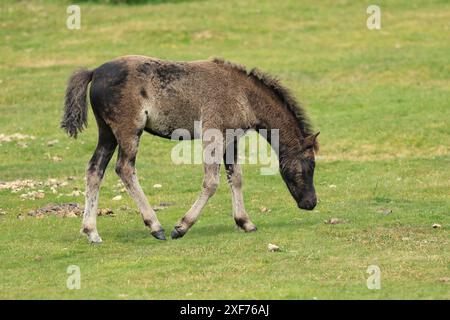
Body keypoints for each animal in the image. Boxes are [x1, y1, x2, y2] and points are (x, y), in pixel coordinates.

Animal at [61, 57, 318, 242]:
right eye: (310, 165)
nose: (311, 203)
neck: (243, 94)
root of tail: (95, 72)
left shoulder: (231, 140)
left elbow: (236, 178)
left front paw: (245, 222)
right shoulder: (213, 135)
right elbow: (211, 182)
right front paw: (181, 227)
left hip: (107, 133)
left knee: (95, 170)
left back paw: (92, 232)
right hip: (129, 130)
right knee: (124, 168)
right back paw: (155, 227)